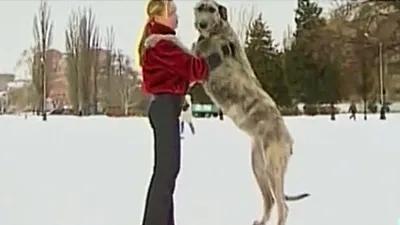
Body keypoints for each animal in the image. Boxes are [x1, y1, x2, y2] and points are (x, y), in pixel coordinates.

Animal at [143, 0, 310, 224]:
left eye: (212, 9)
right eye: (199, 8)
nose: (202, 24)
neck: (217, 32)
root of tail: (289, 139)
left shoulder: (199, 61)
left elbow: (176, 39)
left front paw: (154, 38)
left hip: (272, 167)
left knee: (283, 206)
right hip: (258, 167)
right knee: (270, 200)